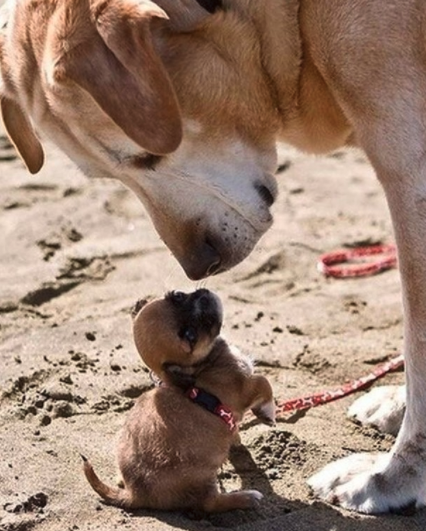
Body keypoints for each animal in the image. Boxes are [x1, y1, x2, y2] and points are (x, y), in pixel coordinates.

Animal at [83, 290, 276, 516]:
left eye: (178, 296)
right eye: (190, 336)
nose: (205, 298)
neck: (203, 365)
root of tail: (135, 493)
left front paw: (236, 436)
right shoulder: (246, 386)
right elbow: (264, 382)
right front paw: (268, 413)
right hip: (203, 479)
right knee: (209, 503)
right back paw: (246, 498)